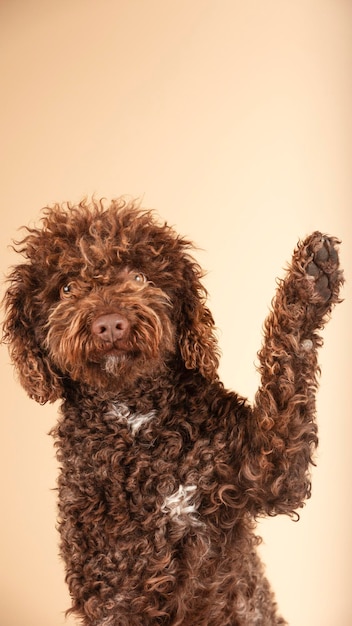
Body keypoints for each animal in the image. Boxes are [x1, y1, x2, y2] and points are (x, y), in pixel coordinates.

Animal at [2, 199, 344, 624]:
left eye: (139, 276)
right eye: (66, 287)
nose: (110, 324)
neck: (137, 418)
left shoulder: (270, 471)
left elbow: (288, 363)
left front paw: (312, 279)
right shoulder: (114, 586)